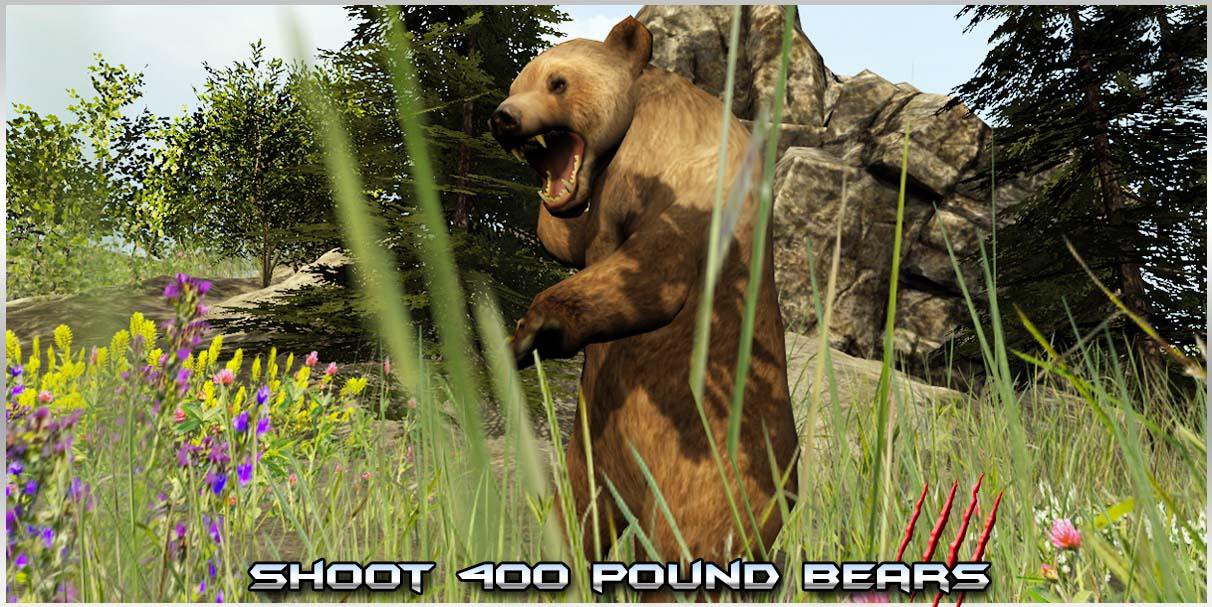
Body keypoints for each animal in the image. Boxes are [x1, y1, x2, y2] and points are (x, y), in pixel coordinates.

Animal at [489, 16, 799, 566]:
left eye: (558, 82)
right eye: (515, 84)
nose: (503, 117)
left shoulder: (687, 177)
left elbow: (654, 272)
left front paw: (536, 327)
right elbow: (571, 242)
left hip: (713, 468)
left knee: (691, 540)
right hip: (593, 453)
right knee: (578, 519)